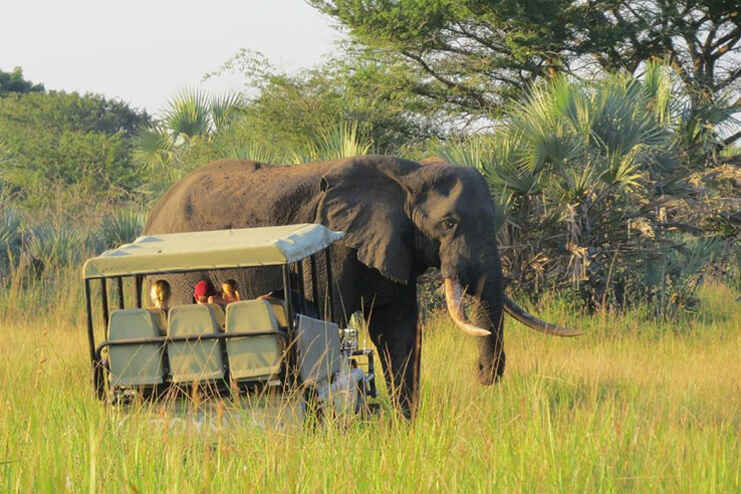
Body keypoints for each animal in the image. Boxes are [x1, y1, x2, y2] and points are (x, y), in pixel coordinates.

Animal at [143, 155, 579, 417]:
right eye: (449, 223)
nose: (482, 375)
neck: (408, 174)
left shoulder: (394, 244)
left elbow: (397, 330)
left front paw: (404, 429)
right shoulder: (335, 247)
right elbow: (328, 320)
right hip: (182, 276)